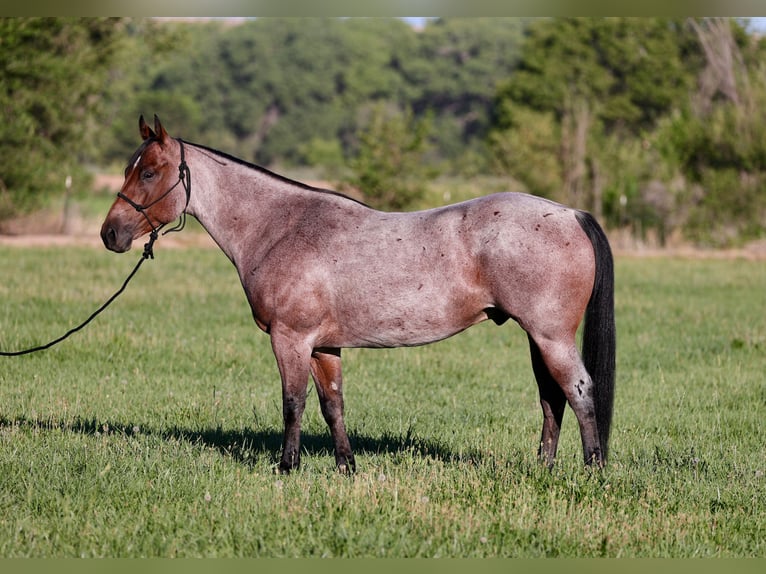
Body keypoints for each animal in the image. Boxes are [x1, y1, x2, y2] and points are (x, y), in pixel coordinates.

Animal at [101, 115, 616, 474]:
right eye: (130, 168)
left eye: (149, 173)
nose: (110, 234)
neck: (281, 227)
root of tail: (570, 213)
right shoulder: (323, 346)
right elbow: (332, 405)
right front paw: (346, 467)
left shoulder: (290, 339)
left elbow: (293, 403)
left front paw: (287, 467)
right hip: (537, 338)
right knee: (551, 398)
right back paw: (544, 467)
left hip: (550, 337)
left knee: (579, 391)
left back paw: (592, 472)